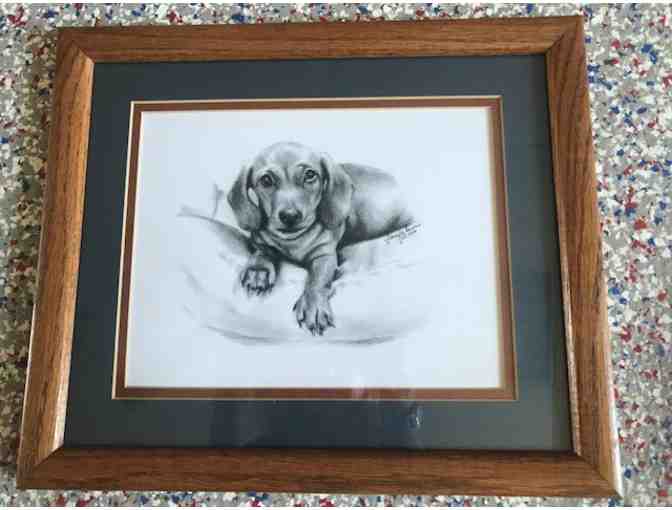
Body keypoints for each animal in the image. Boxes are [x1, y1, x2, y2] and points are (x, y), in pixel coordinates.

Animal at [228, 141, 414, 335]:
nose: (290, 216)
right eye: (266, 180)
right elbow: (262, 252)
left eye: (310, 175)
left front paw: (313, 307)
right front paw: (258, 271)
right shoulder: (261, 242)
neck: (293, 240)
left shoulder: (325, 256)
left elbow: (317, 279)